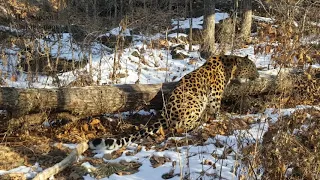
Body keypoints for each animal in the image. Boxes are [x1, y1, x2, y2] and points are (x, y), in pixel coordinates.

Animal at [89, 54, 258, 150]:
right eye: (252, 68)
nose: (257, 75)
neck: (229, 66)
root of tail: (166, 114)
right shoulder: (215, 97)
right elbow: (217, 110)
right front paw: (224, 116)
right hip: (195, 102)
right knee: (180, 126)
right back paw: (200, 121)